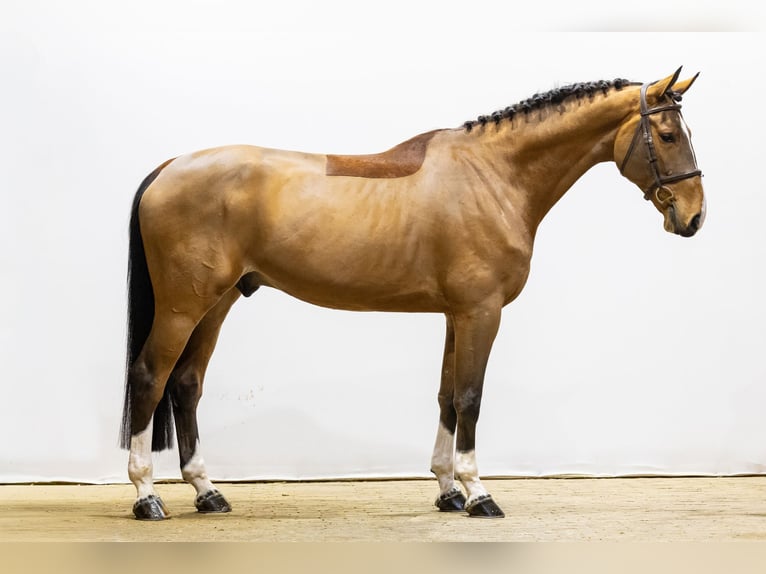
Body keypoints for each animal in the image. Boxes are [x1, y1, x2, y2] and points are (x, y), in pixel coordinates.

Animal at [121, 67, 705, 520]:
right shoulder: (480, 312)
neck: (494, 175)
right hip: (183, 306)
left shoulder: (455, 314)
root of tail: (169, 167)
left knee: (186, 384)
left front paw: (448, 490)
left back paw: (208, 492)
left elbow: (446, 394)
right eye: (668, 135)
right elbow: (470, 396)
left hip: (216, 303)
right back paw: (148, 496)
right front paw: (478, 492)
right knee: (150, 377)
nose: (694, 218)